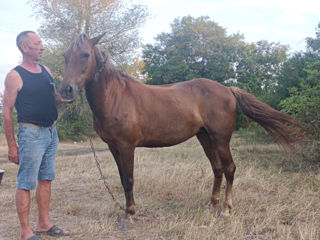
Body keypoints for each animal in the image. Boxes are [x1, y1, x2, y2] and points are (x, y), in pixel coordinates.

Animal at [59, 32, 302, 218]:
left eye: (85, 54)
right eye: (65, 56)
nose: (66, 90)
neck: (116, 96)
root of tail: (228, 89)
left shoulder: (126, 146)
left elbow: (128, 180)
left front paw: (129, 214)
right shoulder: (113, 147)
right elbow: (122, 179)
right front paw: (128, 211)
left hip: (220, 138)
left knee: (230, 168)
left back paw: (225, 209)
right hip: (205, 137)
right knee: (217, 168)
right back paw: (212, 203)